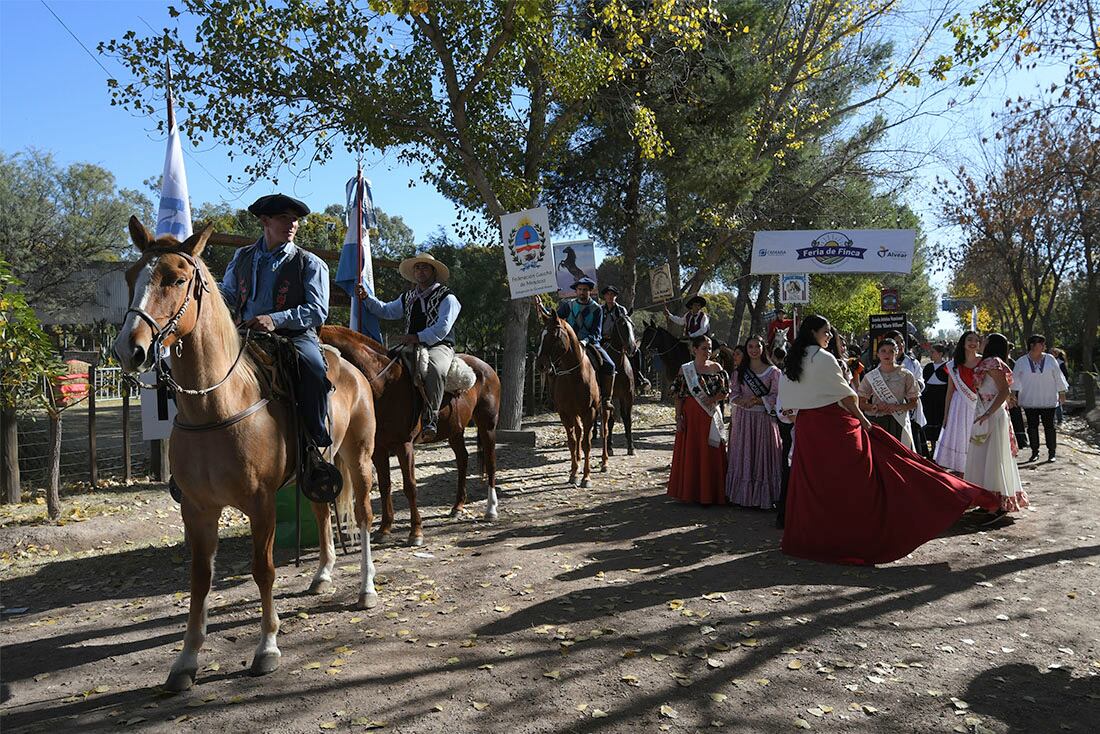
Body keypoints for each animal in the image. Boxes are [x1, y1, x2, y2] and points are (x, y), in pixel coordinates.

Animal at [111, 220, 378, 695]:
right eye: (130, 276)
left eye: (176, 279)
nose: (130, 349)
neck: (217, 406)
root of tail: (350, 366)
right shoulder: (198, 509)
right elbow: (200, 578)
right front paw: (186, 660)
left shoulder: (261, 503)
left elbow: (263, 569)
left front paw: (267, 647)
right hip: (315, 472)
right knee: (322, 513)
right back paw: (322, 576)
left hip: (359, 458)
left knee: (363, 516)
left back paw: (366, 590)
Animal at [319, 327, 503, 545]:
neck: (383, 384)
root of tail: (486, 367)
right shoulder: (379, 449)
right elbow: (385, 486)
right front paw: (384, 529)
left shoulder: (404, 445)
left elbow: (410, 486)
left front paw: (416, 532)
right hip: (455, 432)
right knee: (462, 459)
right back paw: (457, 507)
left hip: (487, 426)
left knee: (491, 462)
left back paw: (491, 510)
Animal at [534, 308, 611, 484]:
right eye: (541, 335)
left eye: (554, 335)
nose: (540, 364)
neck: (575, 376)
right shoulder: (565, 413)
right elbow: (572, 441)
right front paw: (574, 473)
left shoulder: (589, 411)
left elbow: (587, 443)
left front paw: (586, 477)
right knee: (578, 432)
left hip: (603, 408)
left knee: (604, 431)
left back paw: (604, 462)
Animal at [602, 314, 638, 453]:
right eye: (622, 325)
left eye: (632, 325)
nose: (632, 347)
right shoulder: (611, 396)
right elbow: (611, 420)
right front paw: (609, 447)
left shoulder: (628, 395)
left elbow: (627, 418)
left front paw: (631, 446)